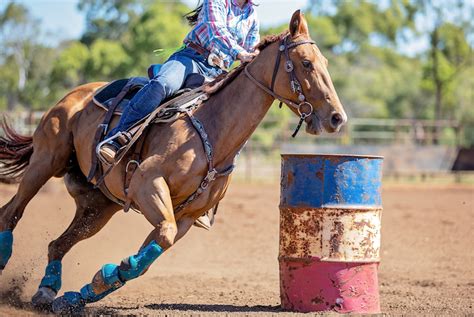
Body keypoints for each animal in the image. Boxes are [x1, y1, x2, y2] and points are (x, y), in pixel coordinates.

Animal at [0, 10, 348, 314]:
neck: (212, 129)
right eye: (306, 63)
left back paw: (47, 292)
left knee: (57, 244)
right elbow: (160, 238)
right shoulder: (148, 184)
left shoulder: (185, 216)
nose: (336, 118)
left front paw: (92, 287)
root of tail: (75, 95)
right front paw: (102, 280)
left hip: (97, 207)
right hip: (46, 162)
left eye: (326, 63)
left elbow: (153, 251)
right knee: (12, 212)